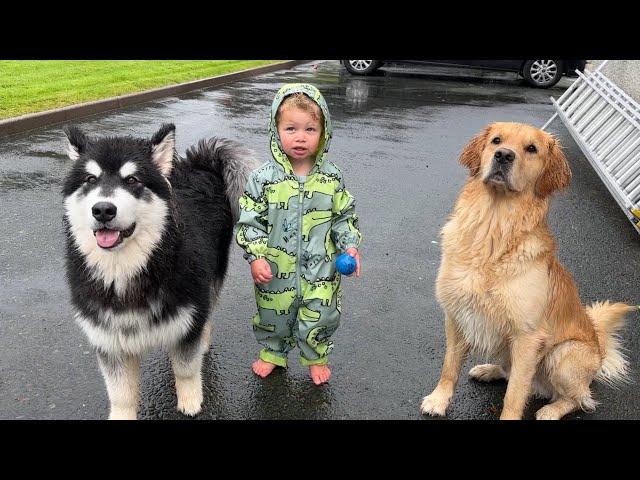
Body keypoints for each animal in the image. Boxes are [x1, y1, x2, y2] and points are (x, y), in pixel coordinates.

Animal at [62, 124, 258, 420]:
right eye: (90, 179)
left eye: (132, 180)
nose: (103, 210)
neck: (127, 270)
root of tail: (199, 165)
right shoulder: (109, 339)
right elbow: (120, 392)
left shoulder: (188, 316)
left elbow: (186, 368)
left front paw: (190, 400)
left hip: (212, 276)